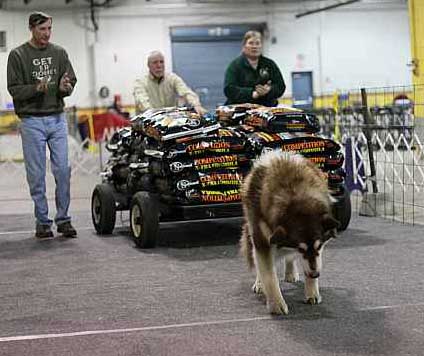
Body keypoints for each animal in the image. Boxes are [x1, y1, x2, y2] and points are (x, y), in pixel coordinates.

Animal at [240, 151, 340, 314]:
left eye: (319, 246)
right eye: (301, 248)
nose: (315, 274)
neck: (294, 194)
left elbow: (311, 262)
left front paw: (312, 292)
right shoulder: (262, 240)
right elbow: (269, 275)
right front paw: (276, 303)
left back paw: (291, 273)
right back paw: (260, 284)